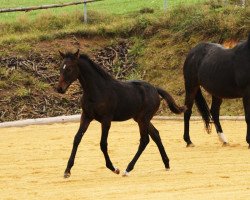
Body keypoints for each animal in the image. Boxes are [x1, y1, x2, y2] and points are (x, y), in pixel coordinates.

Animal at [56, 50, 186, 178]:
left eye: (69, 68)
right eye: (61, 68)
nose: (59, 89)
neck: (97, 91)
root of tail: (155, 89)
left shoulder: (106, 120)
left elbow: (103, 144)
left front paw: (114, 168)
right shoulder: (86, 116)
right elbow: (77, 139)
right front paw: (67, 170)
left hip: (143, 119)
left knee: (144, 140)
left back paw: (128, 169)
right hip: (141, 119)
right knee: (155, 135)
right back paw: (166, 164)